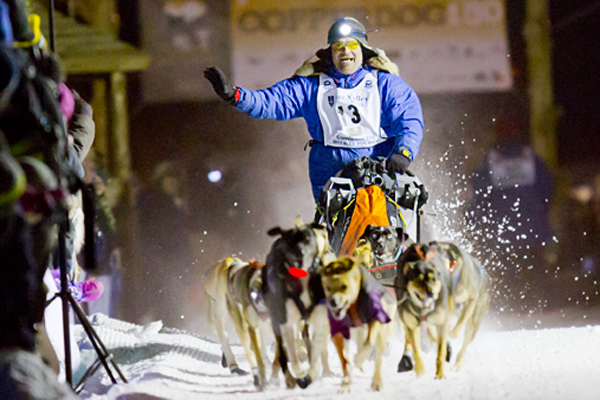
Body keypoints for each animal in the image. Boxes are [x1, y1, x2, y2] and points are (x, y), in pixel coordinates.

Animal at [322, 252, 396, 392]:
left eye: (344, 287)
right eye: (328, 288)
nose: (333, 303)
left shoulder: (374, 320)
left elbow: (369, 343)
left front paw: (358, 360)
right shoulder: (338, 333)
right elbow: (344, 359)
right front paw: (345, 383)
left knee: (377, 355)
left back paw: (376, 380)